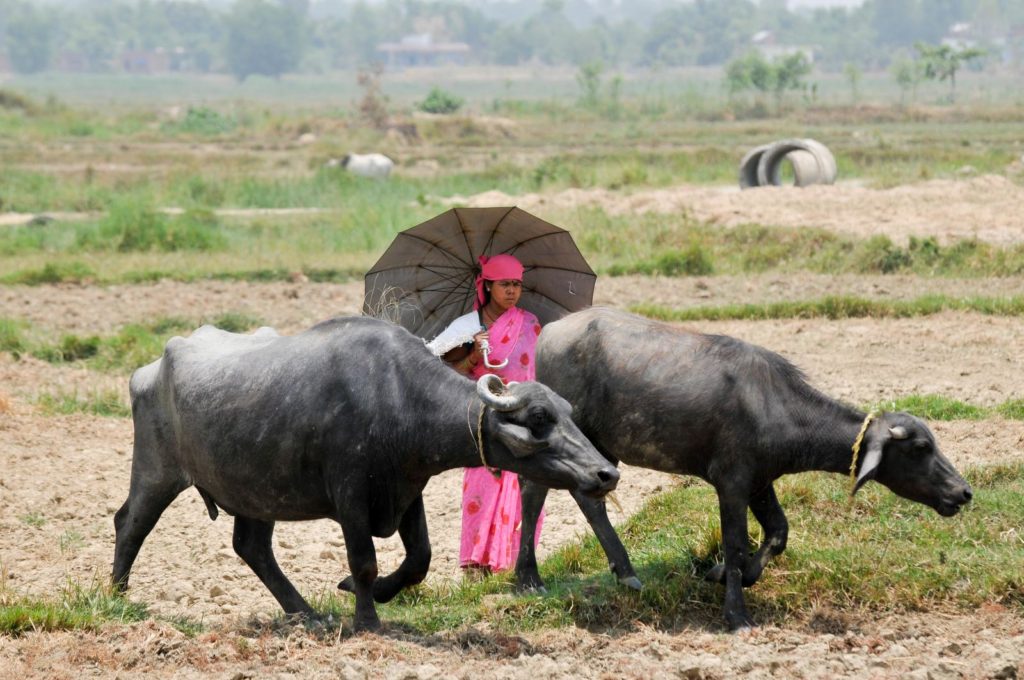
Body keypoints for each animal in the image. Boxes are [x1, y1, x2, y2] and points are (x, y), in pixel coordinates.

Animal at [111, 316, 619, 631]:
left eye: (567, 413)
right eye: (537, 419)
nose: (605, 473)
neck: (395, 396)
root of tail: (149, 370)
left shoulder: (408, 489)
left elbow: (419, 559)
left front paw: (371, 592)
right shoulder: (350, 496)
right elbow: (364, 558)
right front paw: (367, 617)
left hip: (258, 490)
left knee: (252, 548)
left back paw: (307, 614)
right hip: (157, 470)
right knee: (130, 523)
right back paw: (118, 595)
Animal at [514, 307, 973, 631]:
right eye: (921, 447)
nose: (963, 492)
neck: (775, 407)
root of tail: (551, 330)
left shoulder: (760, 483)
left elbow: (778, 533)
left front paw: (724, 574)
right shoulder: (732, 484)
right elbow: (734, 542)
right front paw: (736, 614)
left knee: (555, 493)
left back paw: (545, 576)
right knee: (561, 494)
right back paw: (582, 574)